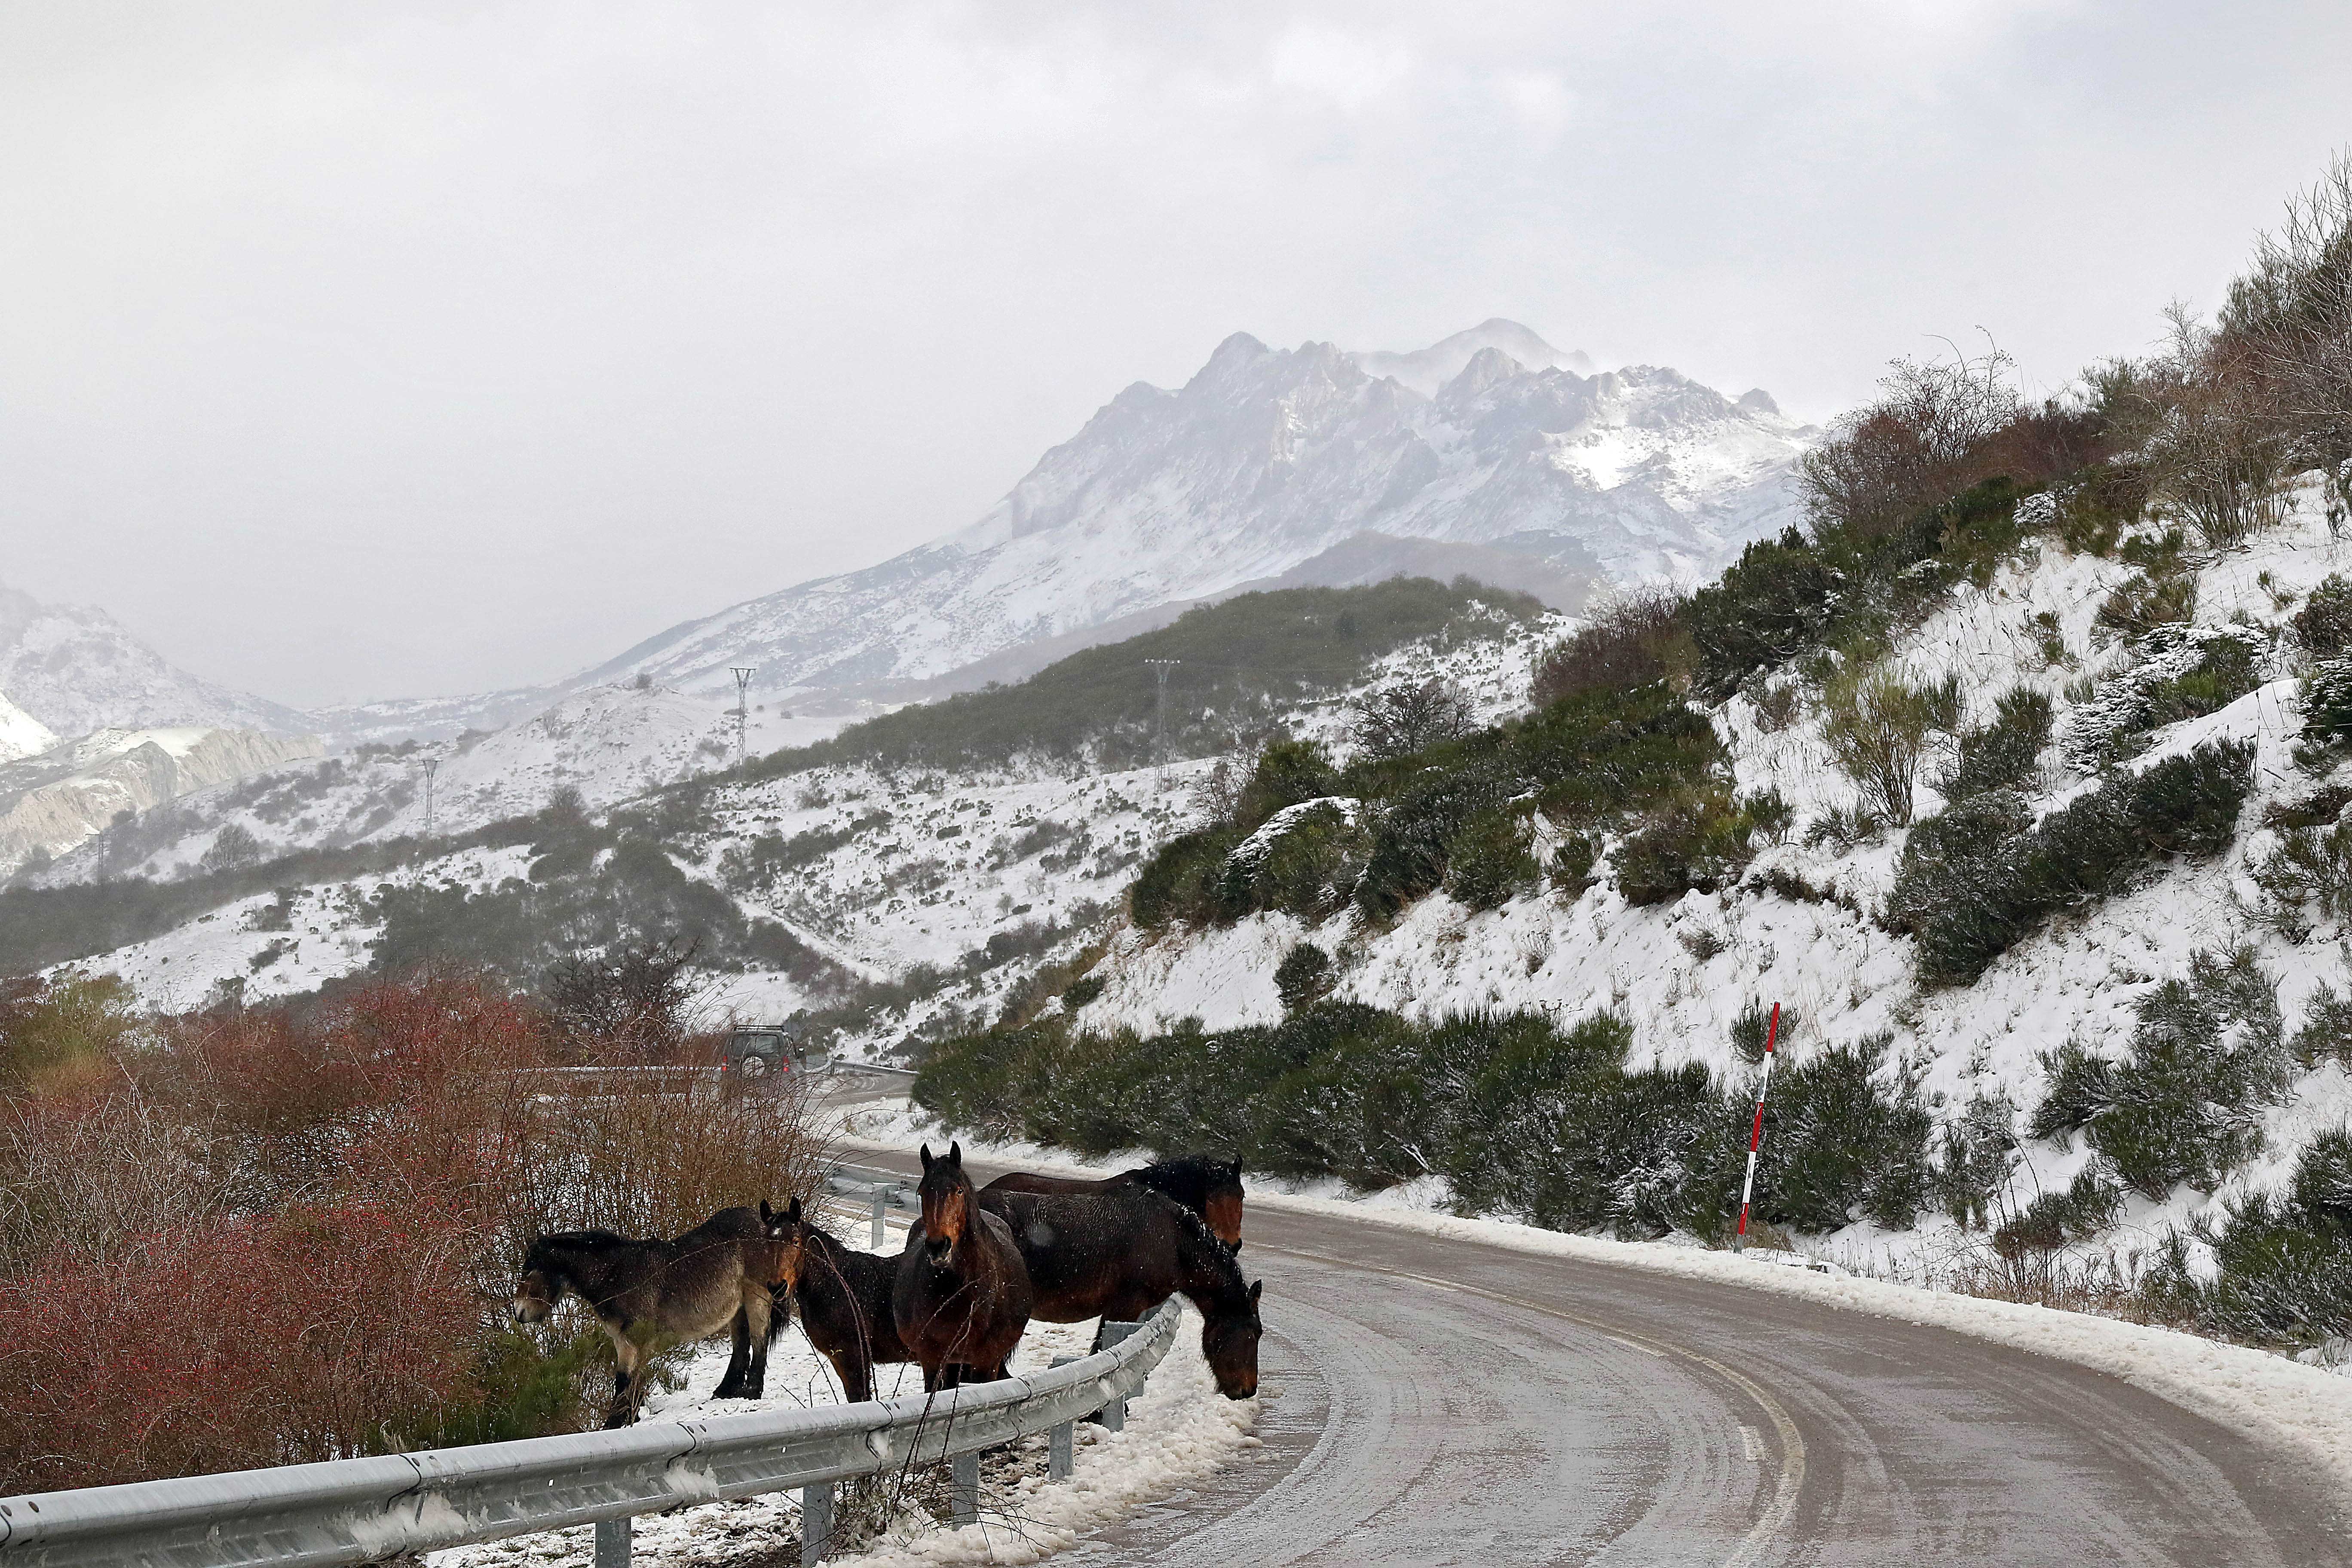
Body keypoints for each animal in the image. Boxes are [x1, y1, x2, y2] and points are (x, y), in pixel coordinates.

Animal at [510, 1213, 795, 1429]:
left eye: (529, 1271)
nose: (518, 1312)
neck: (616, 1275)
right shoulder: (622, 1342)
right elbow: (627, 1379)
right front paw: (628, 1417)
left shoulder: (633, 1342)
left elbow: (626, 1381)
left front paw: (618, 1421)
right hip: (737, 1307)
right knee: (741, 1345)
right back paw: (726, 1390)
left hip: (756, 1296)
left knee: (759, 1339)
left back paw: (752, 1391)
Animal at [757, 1194, 913, 1401]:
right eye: (766, 1243)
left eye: (796, 1241)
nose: (778, 1287)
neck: (837, 1287)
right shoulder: (839, 1360)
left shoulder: (855, 1358)